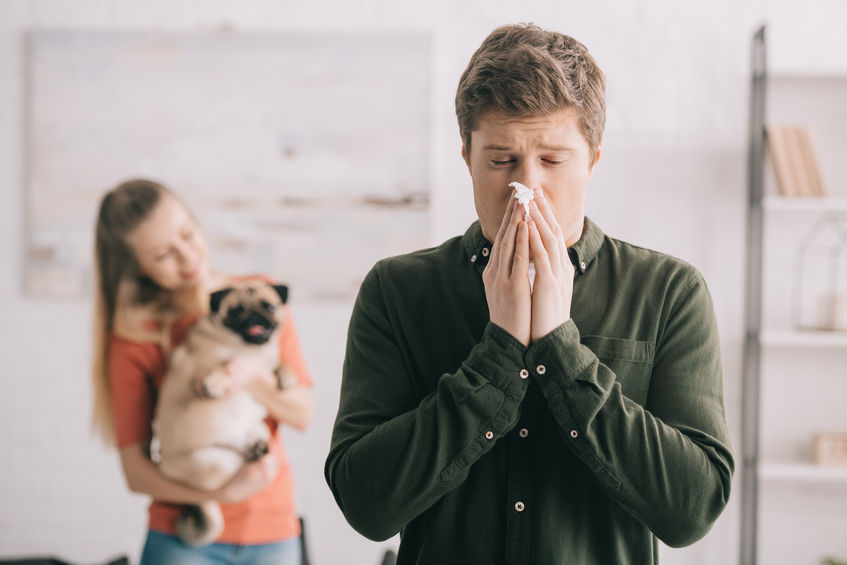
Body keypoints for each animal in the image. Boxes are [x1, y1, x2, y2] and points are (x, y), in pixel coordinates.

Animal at [154, 280, 296, 544]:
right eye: (236, 310)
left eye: (269, 306)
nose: (254, 317)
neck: (250, 350)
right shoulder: (202, 369)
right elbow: (224, 365)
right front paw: (216, 382)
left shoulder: (265, 365)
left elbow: (280, 364)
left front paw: (287, 376)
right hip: (216, 464)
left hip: (255, 428)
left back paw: (257, 447)